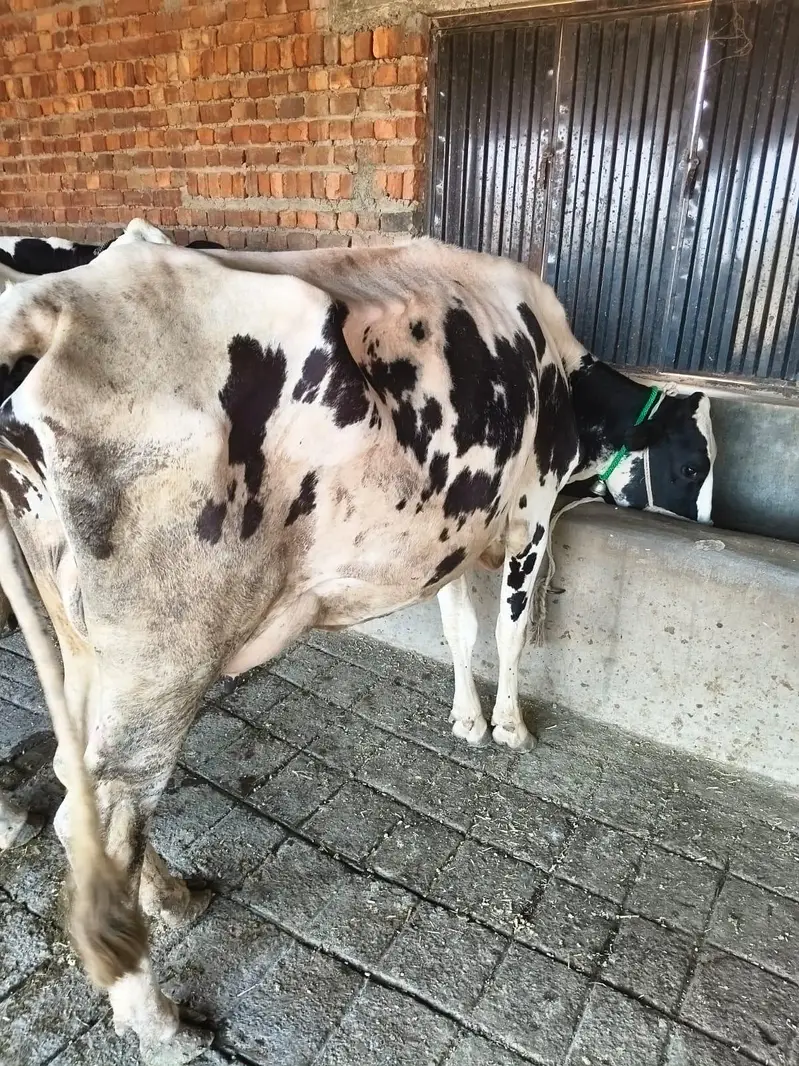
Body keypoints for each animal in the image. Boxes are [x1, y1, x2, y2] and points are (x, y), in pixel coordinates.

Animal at [0, 237, 714, 1061]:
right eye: (692, 465)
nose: (710, 525)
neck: (560, 373)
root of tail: (57, 301)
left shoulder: (455, 530)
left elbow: (458, 628)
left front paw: (465, 721)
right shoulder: (530, 516)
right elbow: (507, 632)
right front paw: (508, 726)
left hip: (82, 637)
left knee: (77, 780)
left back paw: (172, 897)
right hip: (162, 656)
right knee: (110, 813)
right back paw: (161, 1021)